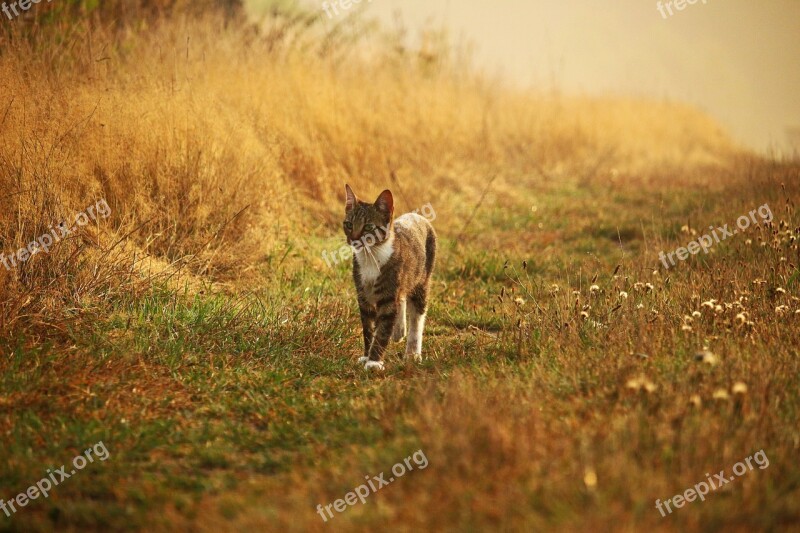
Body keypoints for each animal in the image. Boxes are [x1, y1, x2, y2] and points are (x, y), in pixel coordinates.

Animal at [344, 183, 438, 370]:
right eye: (349, 224)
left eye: (369, 227)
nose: (354, 239)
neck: (370, 257)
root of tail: (417, 215)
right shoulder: (363, 294)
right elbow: (368, 327)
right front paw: (367, 356)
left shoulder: (389, 292)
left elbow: (382, 330)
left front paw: (374, 362)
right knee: (401, 299)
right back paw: (399, 330)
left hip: (421, 279)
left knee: (417, 316)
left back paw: (413, 353)